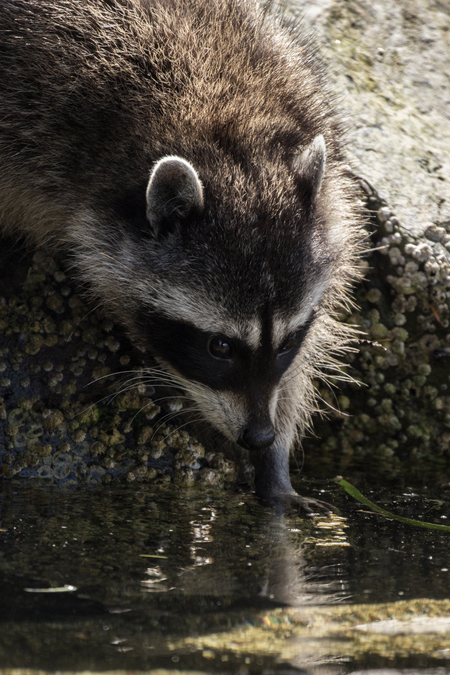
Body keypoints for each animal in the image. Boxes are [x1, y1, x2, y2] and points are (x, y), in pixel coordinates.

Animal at [0, 0, 362, 510]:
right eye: (220, 346)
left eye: (287, 341)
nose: (259, 437)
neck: (221, 124)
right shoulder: (29, 117)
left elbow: (298, 370)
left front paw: (276, 468)